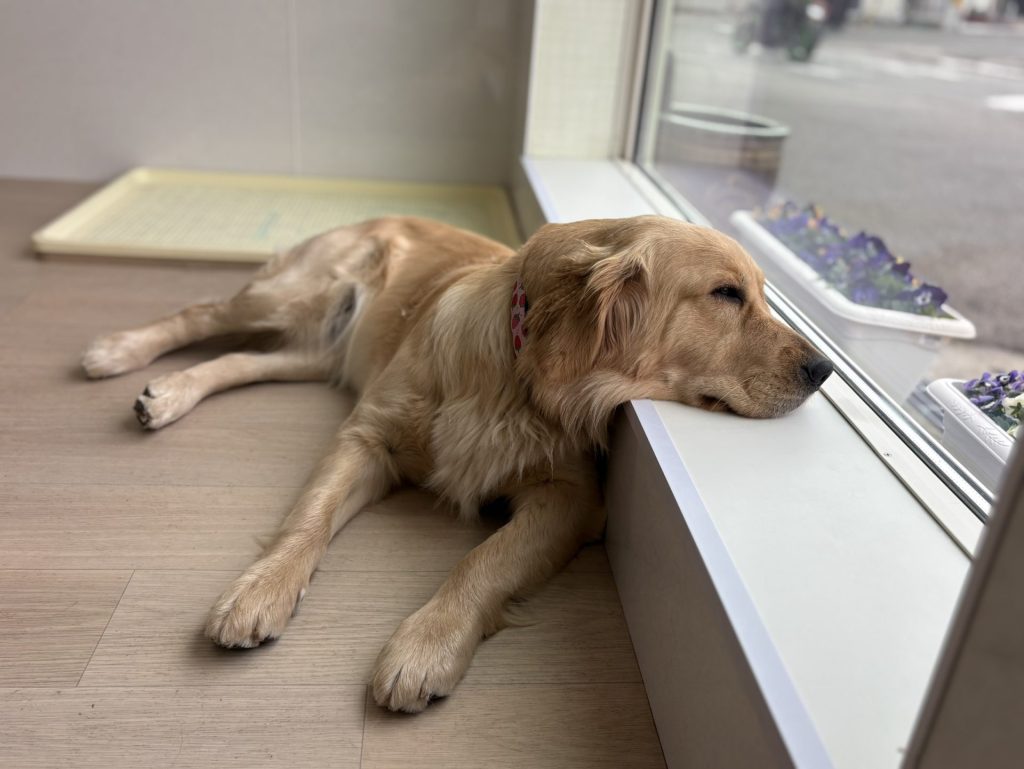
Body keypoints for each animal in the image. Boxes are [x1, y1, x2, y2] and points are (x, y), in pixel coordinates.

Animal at [82, 215, 832, 712]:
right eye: (727, 294)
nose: (824, 369)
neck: (517, 366)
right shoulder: (366, 437)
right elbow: (307, 519)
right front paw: (258, 589)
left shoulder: (569, 495)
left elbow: (484, 560)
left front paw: (424, 645)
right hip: (292, 297)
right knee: (201, 312)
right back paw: (120, 351)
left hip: (316, 347)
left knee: (239, 358)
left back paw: (170, 393)